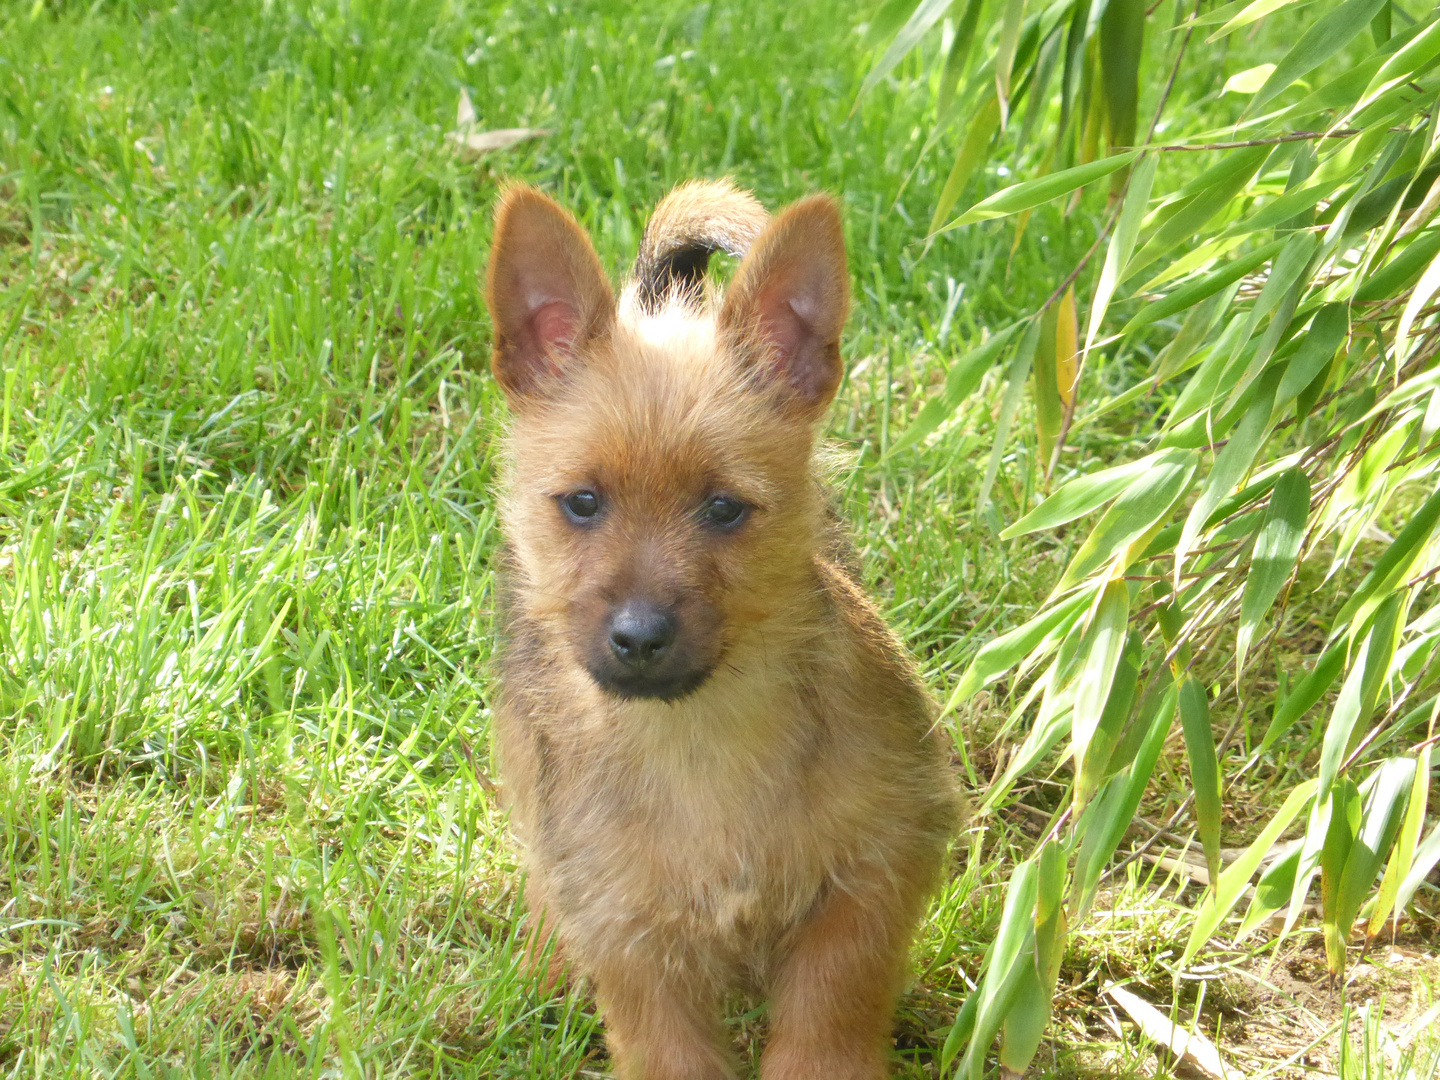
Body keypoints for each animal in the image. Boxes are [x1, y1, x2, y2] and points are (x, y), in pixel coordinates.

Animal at [483, 182, 956, 1077]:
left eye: (725, 509)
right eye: (583, 503)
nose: (639, 637)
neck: (699, 736)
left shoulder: (870, 879)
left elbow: (828, 1013)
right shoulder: (631, 938)